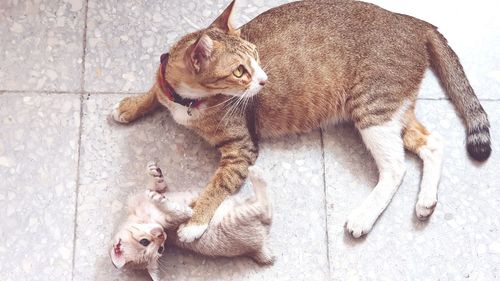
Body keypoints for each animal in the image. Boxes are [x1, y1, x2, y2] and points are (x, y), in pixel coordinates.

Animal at [110, 162, 274, 280]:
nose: (162, 234)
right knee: (265, 210)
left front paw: (153, 174)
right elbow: (179, 211)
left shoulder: (152, 195)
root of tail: (257, 249)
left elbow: (154, 186)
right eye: (160, 249)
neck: (139, 215)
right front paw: (159, 201)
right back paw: (257, 176)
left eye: (144, 241)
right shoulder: (182, 218)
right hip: (236, 217)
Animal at [111, 1, 490, 240]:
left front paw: (195, 223)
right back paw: (425, 202)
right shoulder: (164, 84)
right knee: (432, 143)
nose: (264, 80)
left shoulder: (241, 149)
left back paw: (364, 217)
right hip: (391, 109)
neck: (188, 102)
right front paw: (129, 107)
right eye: (240, 70)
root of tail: (413, 21)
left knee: (396, 168)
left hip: (371, 106)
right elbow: (153, 92)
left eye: (256, 58)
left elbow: (216, 186)